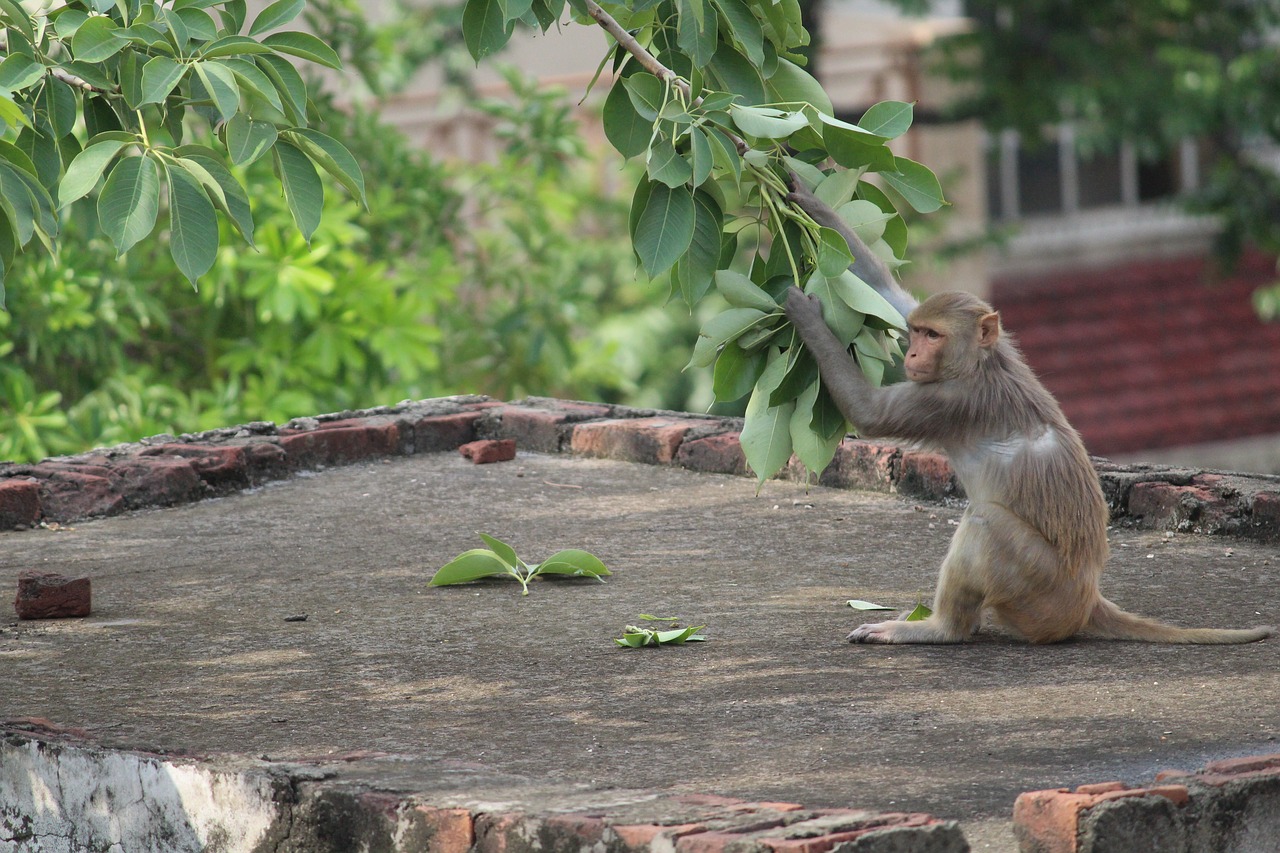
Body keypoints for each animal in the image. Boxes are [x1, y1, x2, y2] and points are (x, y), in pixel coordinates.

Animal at [778, 185, 1269, 640]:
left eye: (933, 336)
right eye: (916, 332)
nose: (914, 354)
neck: (981, 362)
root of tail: (1088, 600)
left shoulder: (951, 400)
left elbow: (870, 412)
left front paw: (803, 311)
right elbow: (887, 296)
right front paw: (798, 190)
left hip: (1039, 592)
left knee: (986, 522)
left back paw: (940, 628)